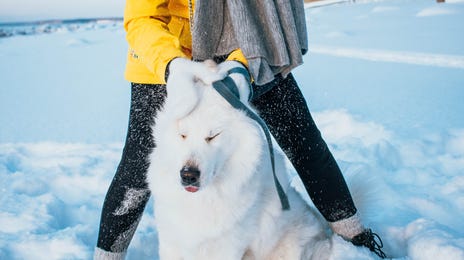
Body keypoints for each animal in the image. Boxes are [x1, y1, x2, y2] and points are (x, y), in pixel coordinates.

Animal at [147, 80, 332, 258]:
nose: (188, 175)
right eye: (183, 135)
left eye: (213, 136)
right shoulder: (171, 242)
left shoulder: (227, 247)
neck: (203, 199)